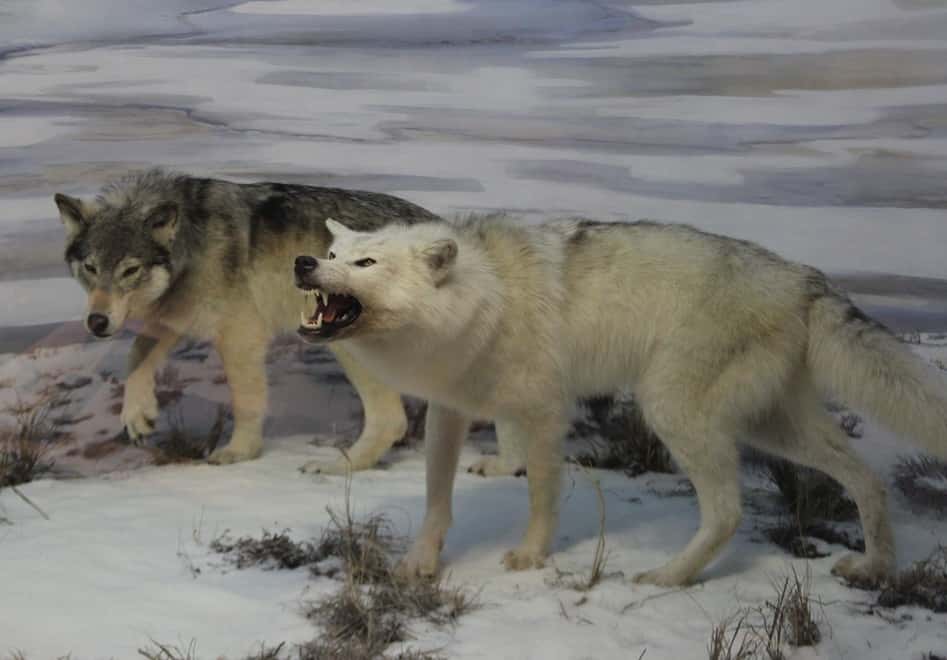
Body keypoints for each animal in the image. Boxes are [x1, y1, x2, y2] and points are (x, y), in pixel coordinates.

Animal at [55, 168, 446, 470]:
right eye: (90, 268)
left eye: (130, 270)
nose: (97, 322)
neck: (192, 242)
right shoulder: (177, 314)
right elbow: (137, 353)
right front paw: (138, 415)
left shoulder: (239, 335)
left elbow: (245, 402)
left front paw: (239, 452)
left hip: (346, 345)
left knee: (390, 420)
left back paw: (336, 468)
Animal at [293, 214, 947, 587]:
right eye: (333, 256)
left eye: (366, 262)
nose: (303, 263)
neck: (486, 299)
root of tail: (804, 276)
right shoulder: (450, 412)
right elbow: (436, 500)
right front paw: (420, 564)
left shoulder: (545, 413)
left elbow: (541, 496)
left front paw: (530, 556)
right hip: (770, 427)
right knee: (867, 479)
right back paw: (874, 566)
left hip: (674, 411)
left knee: (728, 512)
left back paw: (665, 577)